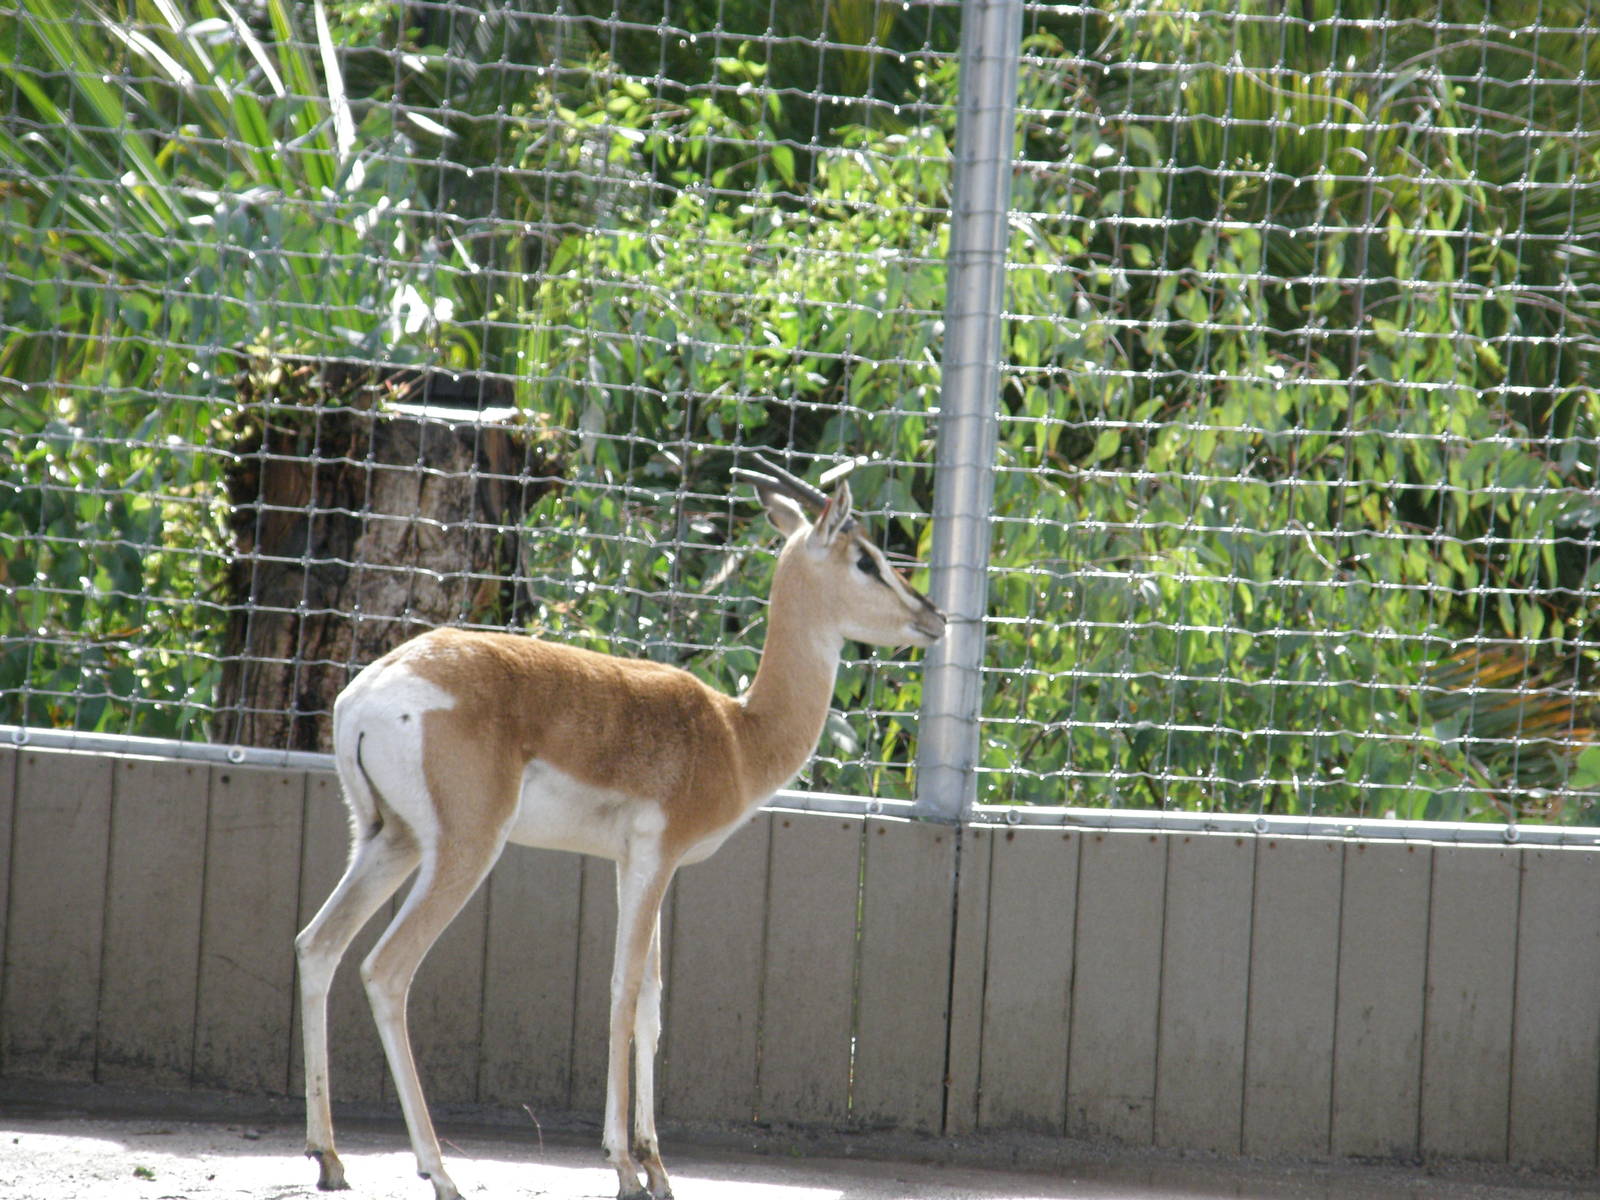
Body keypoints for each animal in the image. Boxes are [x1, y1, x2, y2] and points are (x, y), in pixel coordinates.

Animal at [293, 455, 946, 1200]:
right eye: (866, 559)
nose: (932, 616)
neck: (736, 735)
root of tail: (368, 692)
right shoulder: (655, 858)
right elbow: (624, 989)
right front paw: (625, 1165)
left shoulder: (630, 863)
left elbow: (653, 1004)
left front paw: (657, 1164)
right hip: (462, 850)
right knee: (386, 969)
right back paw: (440, 1170)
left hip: (387, 840)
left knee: (318, 945)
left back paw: (329, 1156)